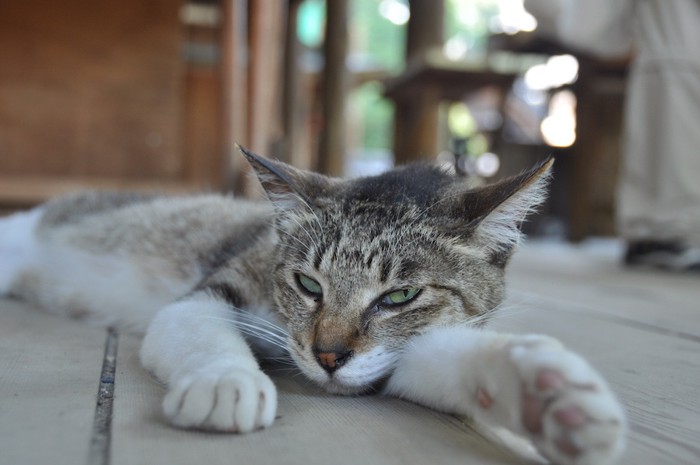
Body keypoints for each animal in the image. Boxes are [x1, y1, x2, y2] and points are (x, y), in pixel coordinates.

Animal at [0, 148, 624, 464]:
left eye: (400, 295)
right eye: (307, 284)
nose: (328, 356)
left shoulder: (391, 359)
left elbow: (441, 359)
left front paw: (548, 395)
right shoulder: (208, 291)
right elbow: (201, 327)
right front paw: (226, 383)